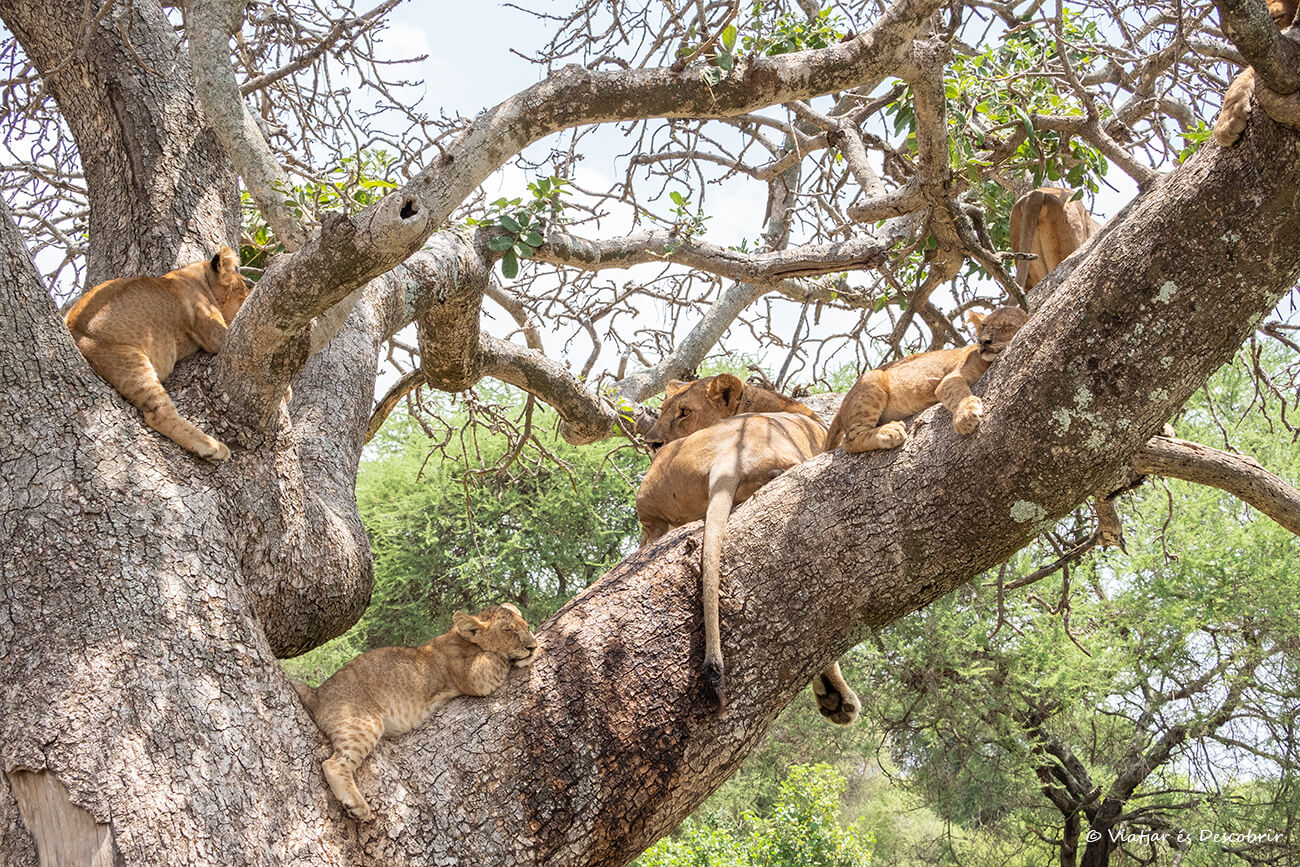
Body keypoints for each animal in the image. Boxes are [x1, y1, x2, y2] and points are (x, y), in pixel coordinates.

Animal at [64, 247, 250, 460]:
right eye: (243, 285)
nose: (249, 293)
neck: (198, 278)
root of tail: (71, 329)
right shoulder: (212, 332)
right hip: (129, 360)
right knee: (159, 415)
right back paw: (211, 447)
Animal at [291, 604, 538, 822]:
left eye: (526, 627)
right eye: (509, 631)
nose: (533, 647)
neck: (462, 639)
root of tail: (318, 693)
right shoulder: (475, 677)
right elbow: (498, 656)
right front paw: (520, 655)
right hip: (361, 723)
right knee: (333, 764)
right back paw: (356, 806)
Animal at [826, 306, 1029, 453]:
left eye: (1005, 327)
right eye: (983, 327)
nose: (983, 341)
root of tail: (843, 405)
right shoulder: (950, 378)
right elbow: (959, 394)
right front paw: (965, 417)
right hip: (872, 379)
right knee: (850, 440)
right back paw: (889, 432)